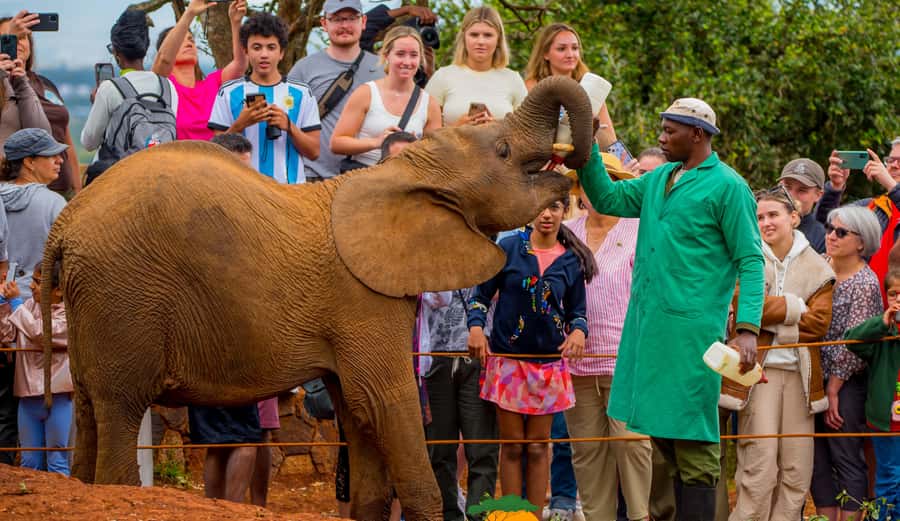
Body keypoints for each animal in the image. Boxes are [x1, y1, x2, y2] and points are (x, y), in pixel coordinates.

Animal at [39, 76, 593, 520]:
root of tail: (65, 223)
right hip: (124, 294)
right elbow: (385, 401)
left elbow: (358, 416)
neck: (407, 174)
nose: (572, 164)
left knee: (89, 413)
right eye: (502, 150)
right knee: (119, 411)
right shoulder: (364, 298)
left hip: (97, 303)